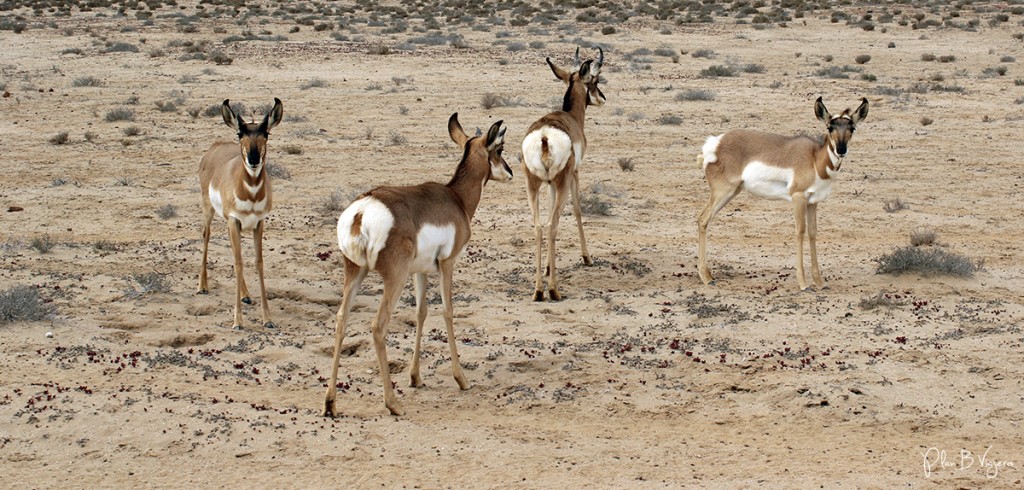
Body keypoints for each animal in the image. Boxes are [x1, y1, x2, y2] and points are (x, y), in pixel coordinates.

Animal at [195, 97, 282, 329]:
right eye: (239, 134)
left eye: (266, 133)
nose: (253, 159)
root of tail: (215, 147)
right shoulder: (234, 221)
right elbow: (238, 262)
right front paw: (237, 321)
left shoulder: (258, 223)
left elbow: (257, 263)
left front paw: (267, 319)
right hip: (209, 212)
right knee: (206, 236)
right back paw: (202, 286)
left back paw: (245, 294)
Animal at [323, 115, 512, 417]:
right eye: (500, 148)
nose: (510, 172)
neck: (456, 198)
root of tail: (363, 210)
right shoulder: (447, 264)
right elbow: (447, 311)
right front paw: (461, 379)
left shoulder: (421, 272)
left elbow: (421, 313)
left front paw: (415, 377)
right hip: (394, 279)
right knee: (378, 326)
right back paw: (393, 403)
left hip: (355, 273)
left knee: (341, 320)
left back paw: (330, 403)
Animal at [524, 48, 602, 300]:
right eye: (594, 80)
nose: (602, 97)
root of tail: (545, 136)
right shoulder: (575, 175)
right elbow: (577, 210)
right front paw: (587, 257)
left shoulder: (549, 184)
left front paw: (549, 267)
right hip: (562, 184)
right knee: (552, 225)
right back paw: (553, 290)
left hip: (533, 185)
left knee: (539, 226)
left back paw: (538, 290)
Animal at [696, 96, 864, 290]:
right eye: (830, 127)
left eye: (852, 128)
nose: (841, 150)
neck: (815, 159)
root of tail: (714, 143)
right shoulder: (798, 198)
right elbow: (800, 231)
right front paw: (803, 284)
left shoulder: (813, 202)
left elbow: (812, 233)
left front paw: (820, 283)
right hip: (723, 192)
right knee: (703, 219)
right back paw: (706, 278)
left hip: (732, 192)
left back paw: (708, 275)